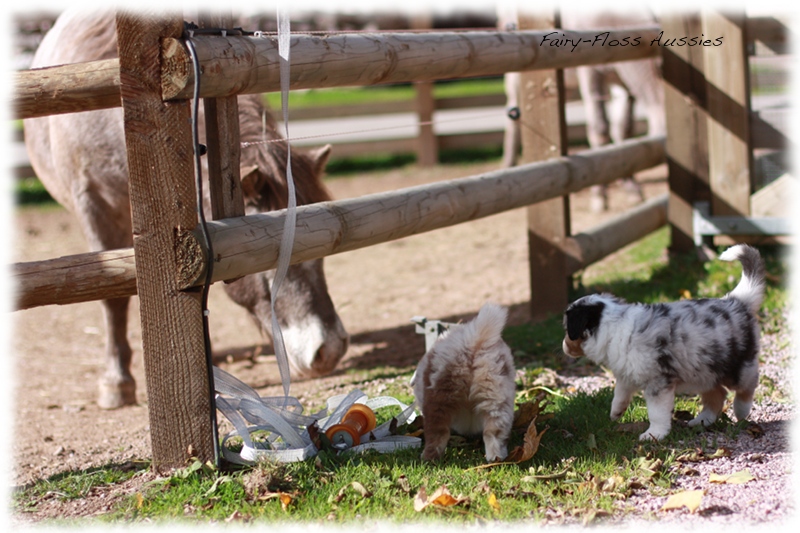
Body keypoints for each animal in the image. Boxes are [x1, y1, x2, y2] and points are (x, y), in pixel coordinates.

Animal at [410, 304, 516, 462]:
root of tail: (472, 343)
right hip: (496, 396)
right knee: (494, 432)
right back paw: (496, 458)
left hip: (440, 396)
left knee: (437, 432)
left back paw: (428, 458)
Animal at [560, 245, 764, 440]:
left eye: (568, 330)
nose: (563, 346)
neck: (612, 326)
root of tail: (737, 301)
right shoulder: (627, 371)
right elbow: (620, 392)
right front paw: (615, 412)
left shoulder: (658, 382)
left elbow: (657, 412)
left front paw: (654, 434)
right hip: (703, 371)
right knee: (717, 394)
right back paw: (702, 420)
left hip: (737, 365)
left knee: (748, 384)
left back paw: (741, 410)